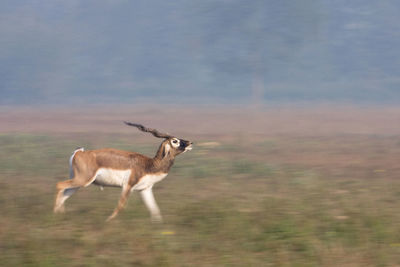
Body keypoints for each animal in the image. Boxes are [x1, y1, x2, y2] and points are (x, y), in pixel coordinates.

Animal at [53, 122, 194, 223]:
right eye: (175, 141)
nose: (190, 143)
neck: (149, 164)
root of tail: (79, 152)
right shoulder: (128, 186)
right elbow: (121, 205)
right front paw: (108, 221)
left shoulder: (145, 189)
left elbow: (154, 209)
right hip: (83, 180)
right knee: (59, 185)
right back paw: (55, 215)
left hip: (79, 183)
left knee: (65, 193)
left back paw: (61, 215)